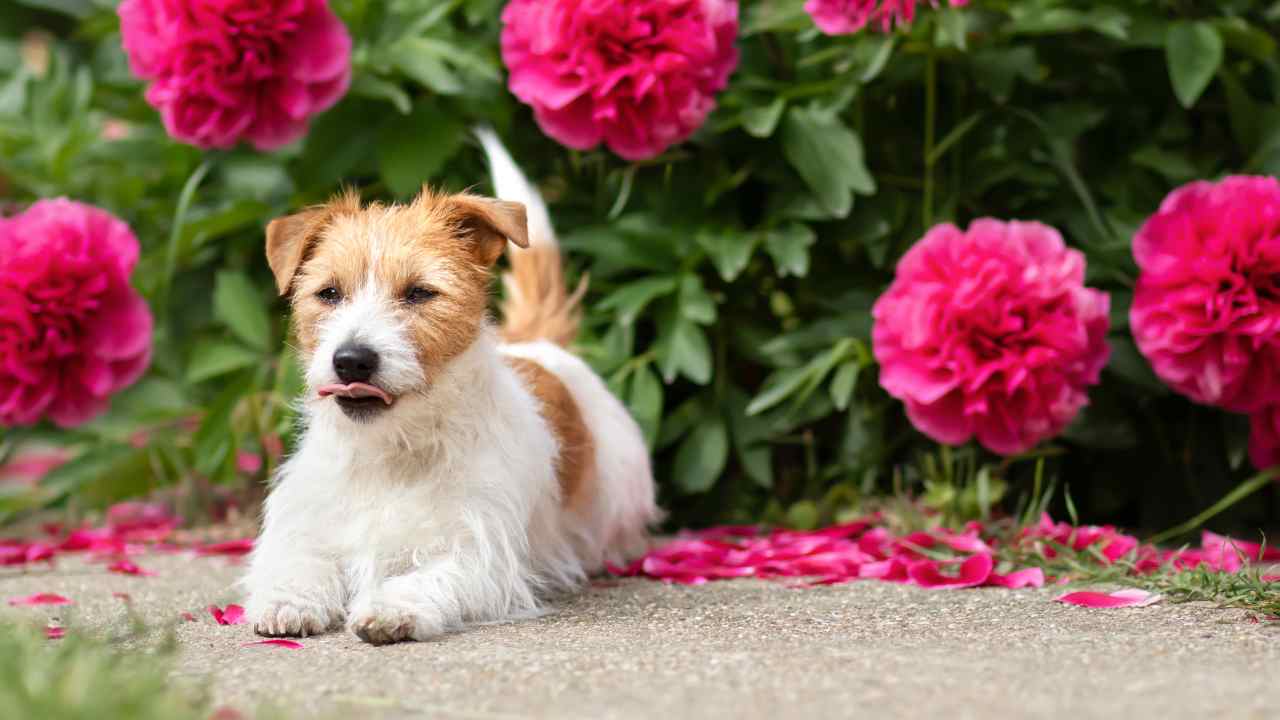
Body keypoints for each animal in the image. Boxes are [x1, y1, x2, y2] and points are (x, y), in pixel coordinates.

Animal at [241, 130, 660, 645]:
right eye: (329, 293)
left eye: (420, 293)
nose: (352, 359)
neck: (393, 451)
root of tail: (537, 342)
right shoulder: (307, 527)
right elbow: (297, 562)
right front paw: (288, 601)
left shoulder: (479, 556)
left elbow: (428, 578)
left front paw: (390, 608)